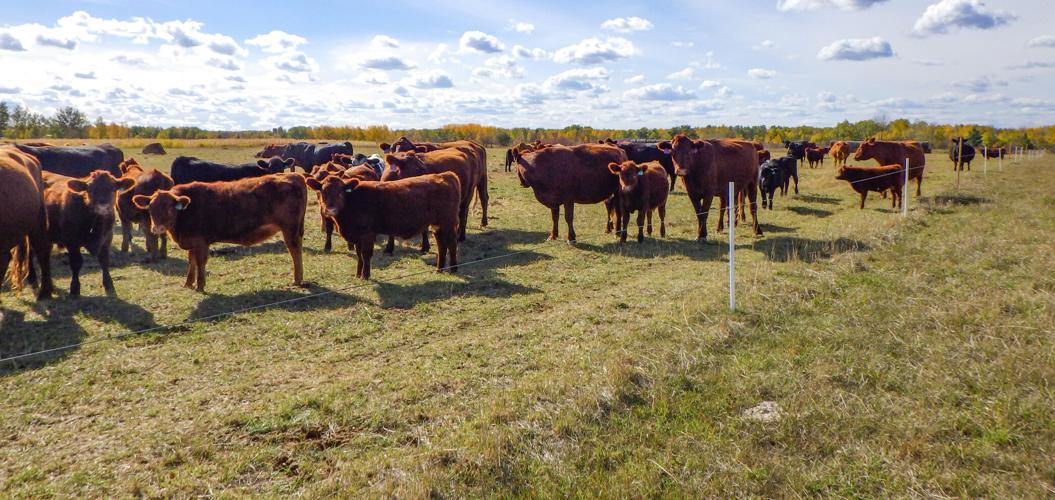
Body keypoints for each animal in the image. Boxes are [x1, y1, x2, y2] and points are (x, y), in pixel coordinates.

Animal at [132, 173, 307, 292]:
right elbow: (191, 262)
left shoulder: (200, 242)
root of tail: (293, 175)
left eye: (169, 208)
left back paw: (297, 280)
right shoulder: (192, 243)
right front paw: (188, 283)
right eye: (150, 208)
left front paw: (200, 286)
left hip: (290, 229)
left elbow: (200, 262)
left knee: (295, 251)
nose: (157, 229)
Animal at [305, 173, 461, 280]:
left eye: (340, 192)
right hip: (437, 224)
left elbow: (365, 255)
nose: (330, 209)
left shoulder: (367, 234)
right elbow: (359, 255)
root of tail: (444, 175)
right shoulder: (357, 236)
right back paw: (439, 269)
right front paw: (358, 274)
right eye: (322, 192)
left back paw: (454, 268)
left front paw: (365, 276)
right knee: (442, 246)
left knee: (452, 243)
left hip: (448, 222)